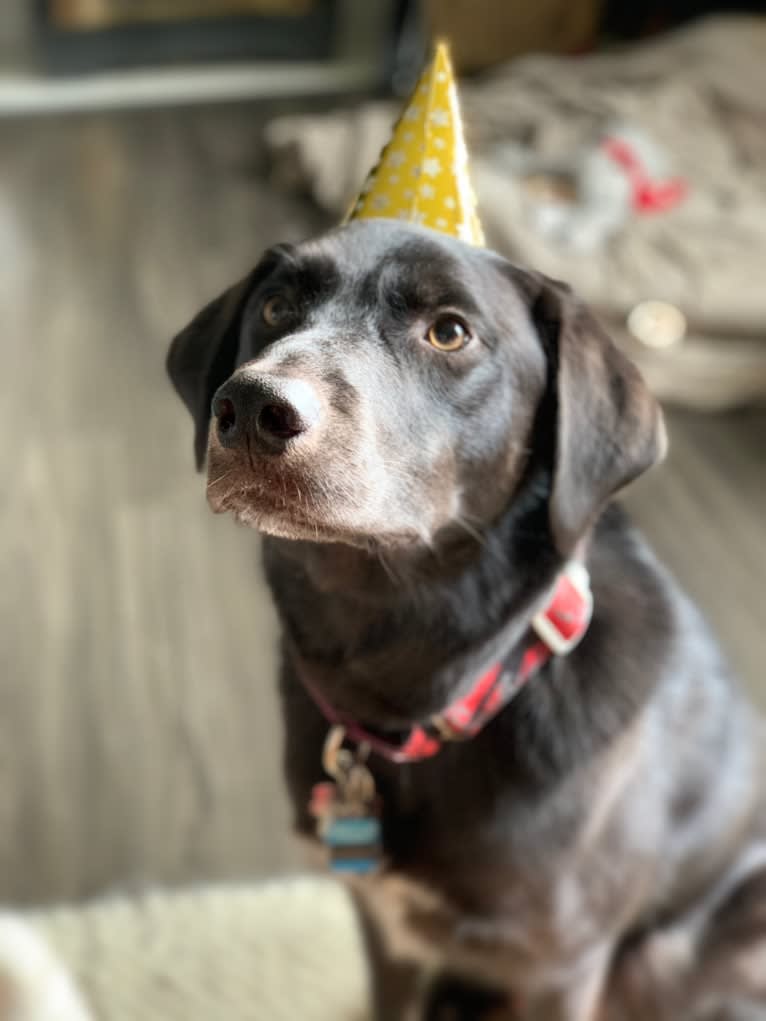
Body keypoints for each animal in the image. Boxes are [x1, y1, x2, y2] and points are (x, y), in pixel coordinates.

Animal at [169, 219, 766, 1016]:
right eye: (274, 307)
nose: (253, 408)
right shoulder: (383, 925)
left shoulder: (560, 968)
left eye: (449, 332)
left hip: (662, 957)